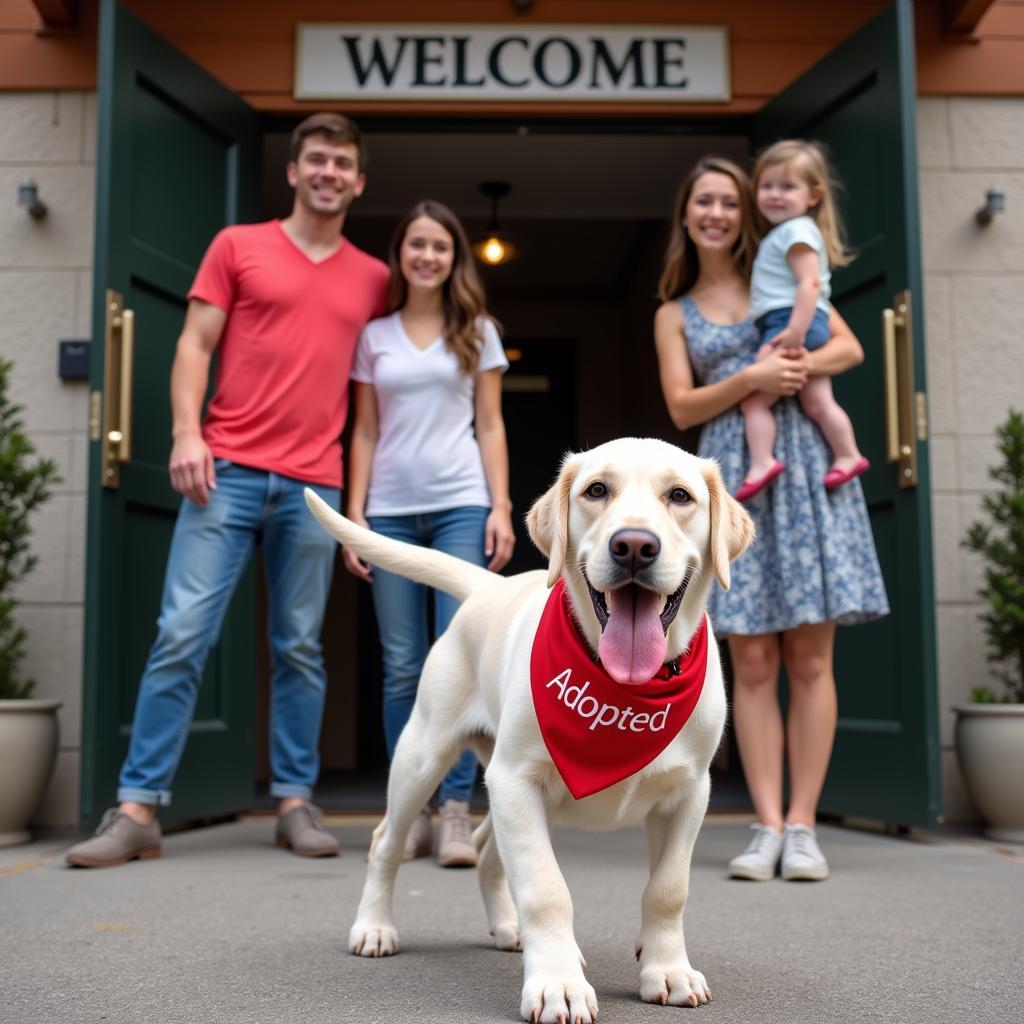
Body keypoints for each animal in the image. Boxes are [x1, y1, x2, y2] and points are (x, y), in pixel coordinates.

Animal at [303, 440, 753, 1024]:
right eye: (596, 490)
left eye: (680, 496)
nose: (634, 545)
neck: (625, 690)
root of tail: (489, 586)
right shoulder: (518, 781)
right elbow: (545, 888)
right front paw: (558, 983)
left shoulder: (690, 791)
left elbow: (668, 889)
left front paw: (668, 970)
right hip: (425, 757)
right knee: (387, 841)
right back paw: (375, 927)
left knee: (483, 849)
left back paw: (508, 927)